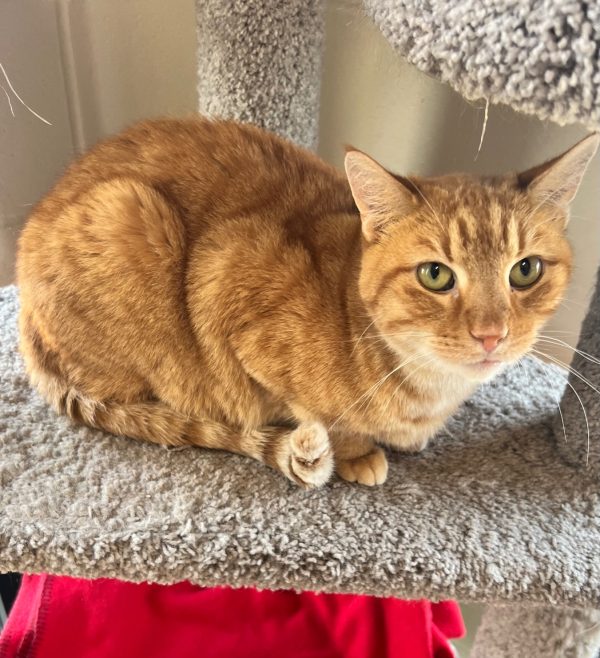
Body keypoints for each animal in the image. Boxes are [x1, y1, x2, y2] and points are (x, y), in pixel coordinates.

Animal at [16, 117, 598, 487]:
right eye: (436, 275)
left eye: (525, 270)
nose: (491, 334)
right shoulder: (228, 283)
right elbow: (319, 416)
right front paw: (359, 453)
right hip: (129, 216)